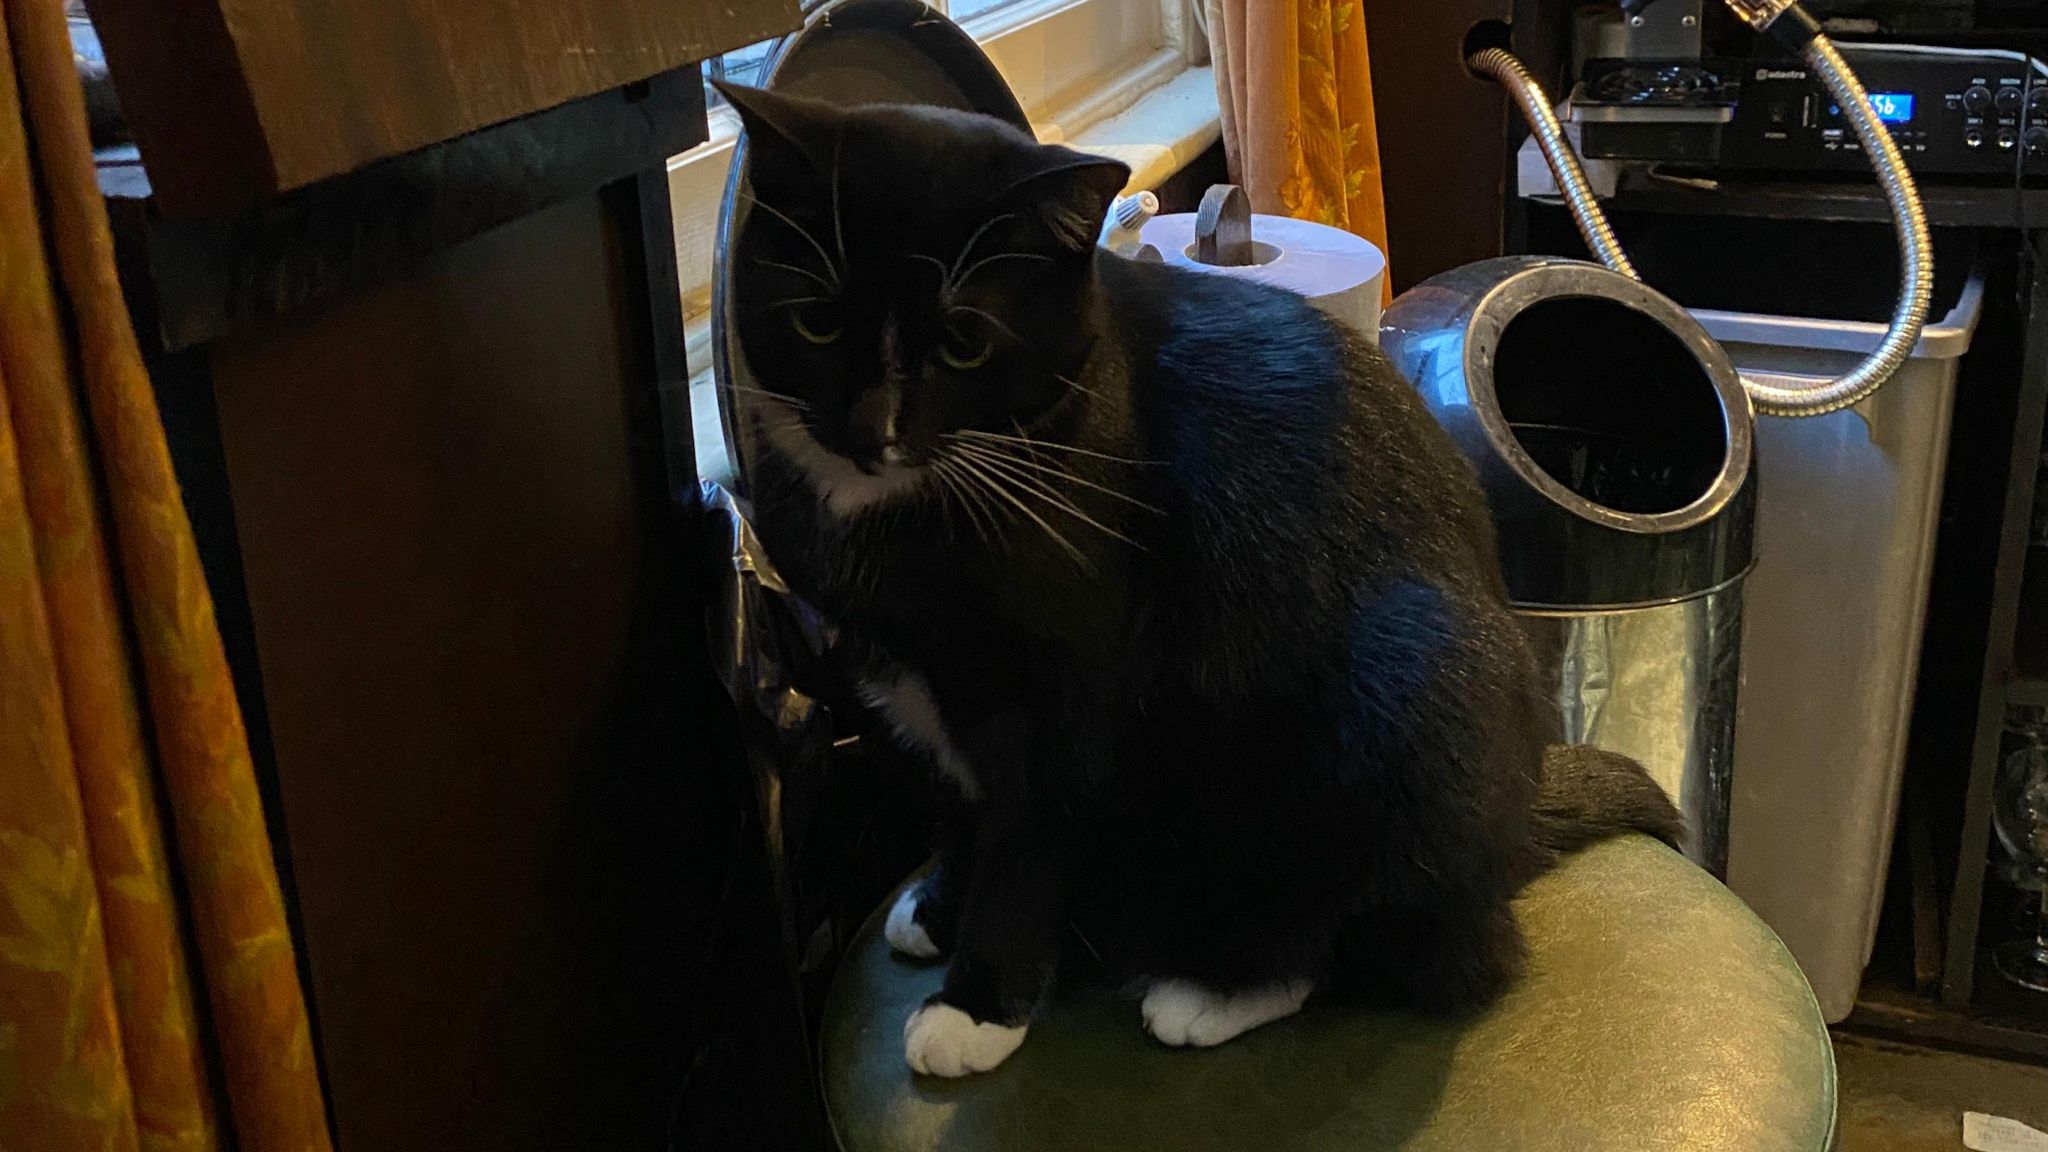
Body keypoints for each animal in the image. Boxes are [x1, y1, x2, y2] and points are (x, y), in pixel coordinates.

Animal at [720, 83, 1679, 1074]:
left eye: (962, 344)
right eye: (817, 322)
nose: (868, 428)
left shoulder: (1064, 694)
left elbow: (1023, 841)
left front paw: (978, 1004)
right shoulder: (907, 688)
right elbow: (956, 805)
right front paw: (940, 907)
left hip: (1416, 694)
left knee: (1391, 939)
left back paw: (1217, 988)